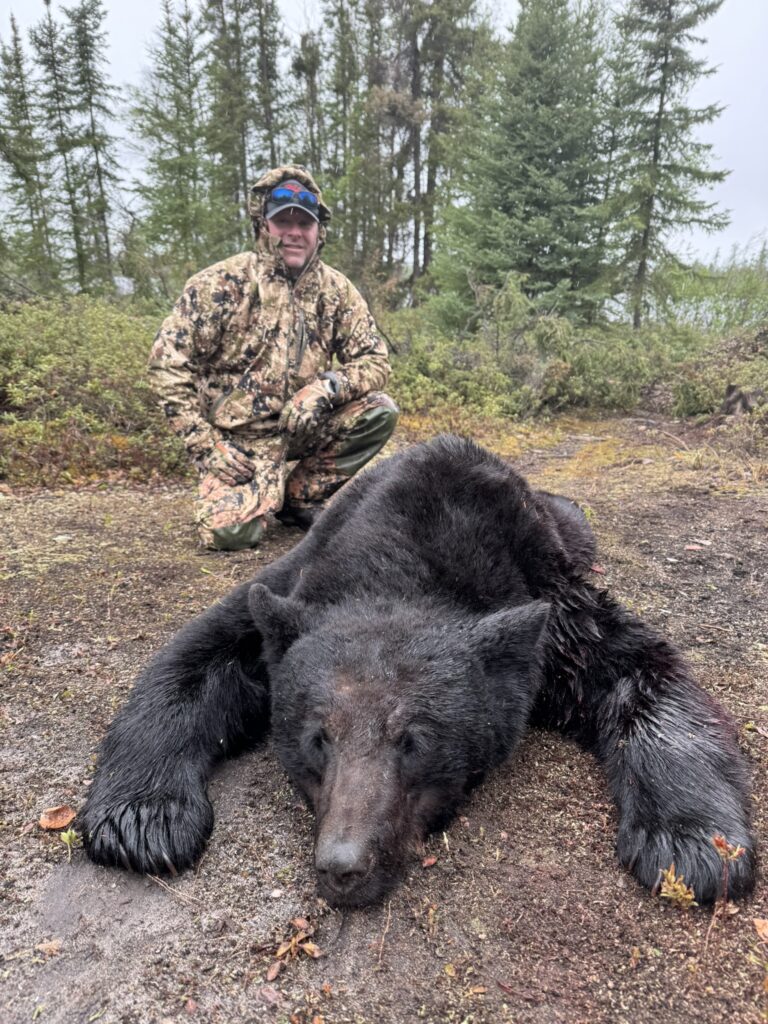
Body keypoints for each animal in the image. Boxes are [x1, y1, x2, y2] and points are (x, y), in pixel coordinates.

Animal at [80, 436, 755, 907]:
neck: (404, 555)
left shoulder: (556, 602)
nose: (343, 866)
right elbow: (198, 655)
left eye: (415, 740)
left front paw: (693, 843)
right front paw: (143, 817)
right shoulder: (293, 581)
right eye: (317, 738)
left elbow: (641, 669)